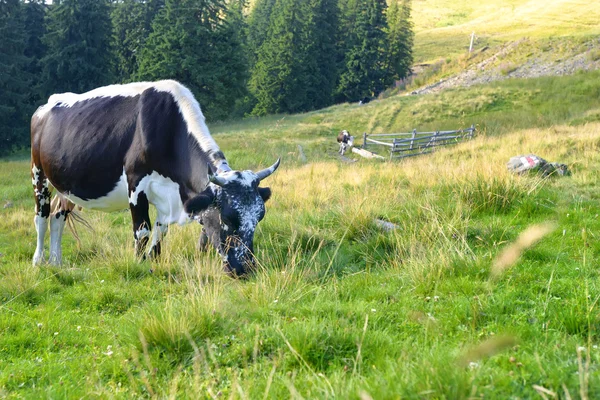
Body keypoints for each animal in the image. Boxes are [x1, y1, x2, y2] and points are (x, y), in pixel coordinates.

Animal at [30, 79, 278, 276]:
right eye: (227, 217)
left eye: (259, 217)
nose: (246, 268)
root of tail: (47, 105)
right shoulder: (136, 183)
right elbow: (143, 230)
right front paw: (139, 264)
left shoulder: (168, 196)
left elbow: (161, 230)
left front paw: (153, 260)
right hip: (38, 174)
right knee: (41, 217)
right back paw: (38, 261)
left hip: (65, 186)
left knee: (57, 216)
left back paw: (56, 262)